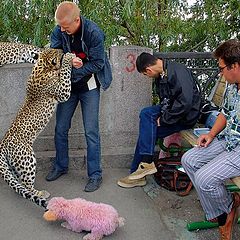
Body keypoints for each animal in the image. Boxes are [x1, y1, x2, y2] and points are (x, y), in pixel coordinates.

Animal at [0, 47, 74, 208]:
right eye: (58, 52)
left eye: (55, 48)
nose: (62, 49)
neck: (42, 67)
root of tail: (2, 145)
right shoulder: (63, 91)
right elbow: (65, 73)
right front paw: (68, 58)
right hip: (27, 159)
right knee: (27, 184)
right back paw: (40, 193)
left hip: (15, 164)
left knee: (19, 182)